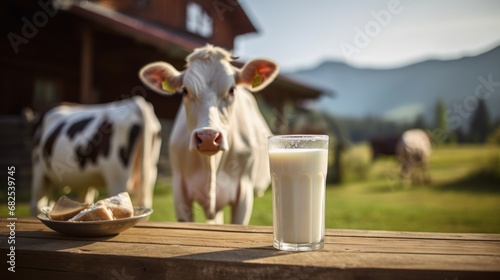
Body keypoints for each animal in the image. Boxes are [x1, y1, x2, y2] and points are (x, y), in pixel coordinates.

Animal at [29, 96, 161, 214]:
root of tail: (136, 103)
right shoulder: (87, 183)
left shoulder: (39, 171)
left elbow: (37, 205)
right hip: (150, 172)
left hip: (117, 176)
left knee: (36, 204)